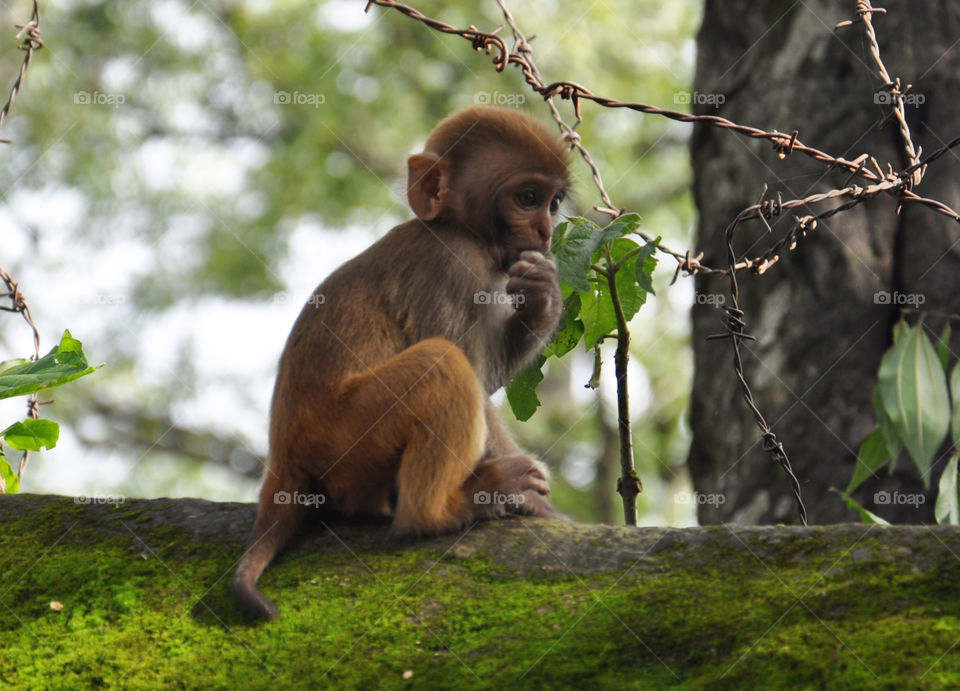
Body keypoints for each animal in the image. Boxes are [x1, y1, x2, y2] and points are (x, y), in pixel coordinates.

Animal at [233, 106, 571, 619]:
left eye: (554, 204)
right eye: (527, 198)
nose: (546, 232)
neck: (454, 226)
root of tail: (283, 457)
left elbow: (488, 374)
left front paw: (543, 295)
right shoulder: (452, 263)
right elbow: (471, 374)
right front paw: (541, 509)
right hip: (343, 435)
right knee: (443, 361)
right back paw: (441, 511)